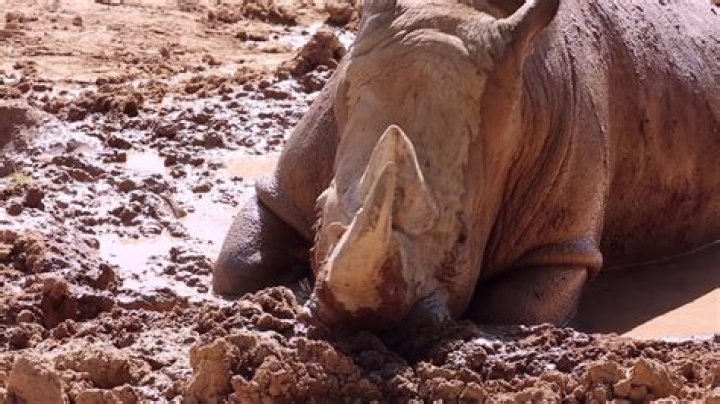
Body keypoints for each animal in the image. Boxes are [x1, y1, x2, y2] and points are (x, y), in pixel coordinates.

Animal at [214, 0, 720, 330]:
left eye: (463, 238)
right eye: (320, 215)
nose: (367, 323)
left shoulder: (561, 244)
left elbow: (519, 311)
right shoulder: (291, 180)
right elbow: (237, 262)